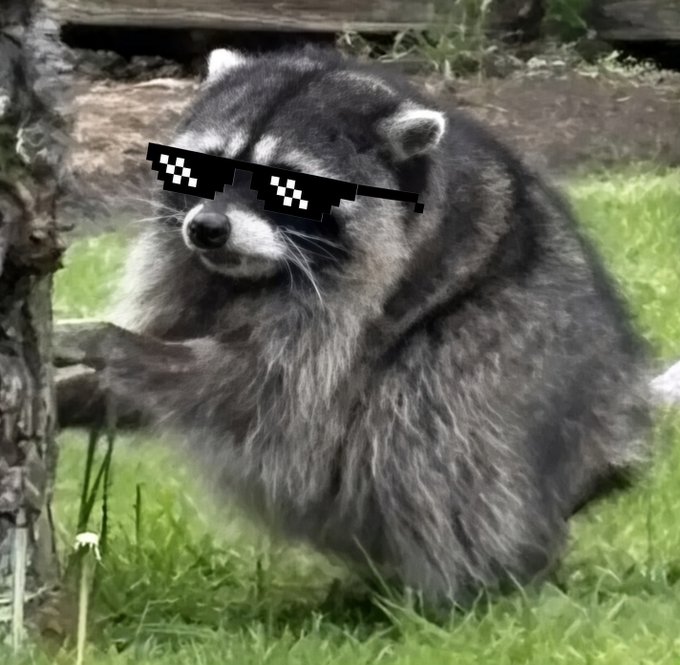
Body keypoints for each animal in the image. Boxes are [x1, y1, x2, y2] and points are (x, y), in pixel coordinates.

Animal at [74, 46, 653, 605]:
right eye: (201, 169)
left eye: (287, 187)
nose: (208, 229)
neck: (251, 277)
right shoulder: (186, 272)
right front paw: (81, 388)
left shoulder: (355, 307)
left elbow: (258, 391)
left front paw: (111, 345)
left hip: (516, 360)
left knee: (429, 415)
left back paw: (465, 590)